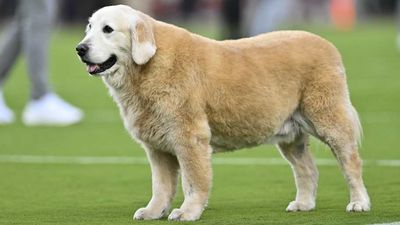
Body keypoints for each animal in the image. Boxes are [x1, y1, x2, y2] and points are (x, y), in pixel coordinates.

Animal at [76, 4, 370, 221]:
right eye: (89, 28)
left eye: (108, 29)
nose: (80, 48)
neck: (148, 66)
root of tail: (325, 43)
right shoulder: (157, 147)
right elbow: (161, 185)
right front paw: (153, 211)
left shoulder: (189, 137)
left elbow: (194, 181)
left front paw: (188, 211)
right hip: (291, 135)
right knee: (307, 168)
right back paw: (304, 204)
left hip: (330, 119)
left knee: (351, 163)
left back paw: (359, 203)